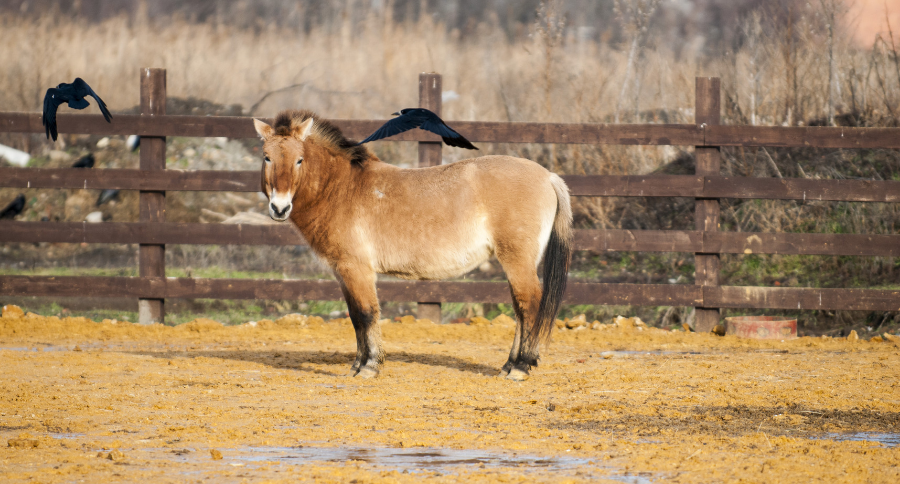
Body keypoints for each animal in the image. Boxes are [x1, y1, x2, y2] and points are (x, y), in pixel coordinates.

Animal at [253, 110, 572, 380]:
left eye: (299, 160)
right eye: (267, 157)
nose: (279, 208)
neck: (342, 188)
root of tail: (548, 176)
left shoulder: (356, 269)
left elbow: (367, 313)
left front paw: (370, 367)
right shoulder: (342, 272)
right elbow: (356, 317)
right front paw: (356, 366)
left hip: (516, 260)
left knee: (529, 304)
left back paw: (521, 367)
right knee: (521, 309)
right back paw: (509, 365)